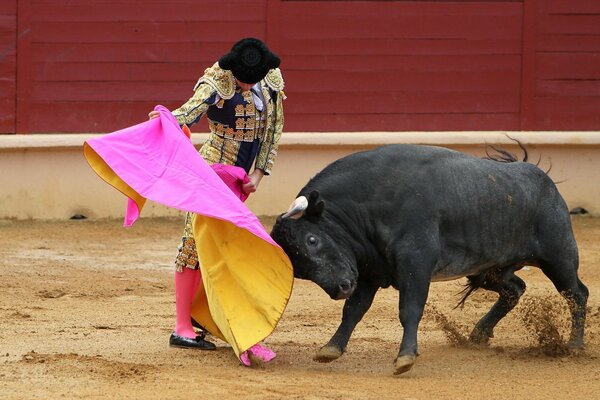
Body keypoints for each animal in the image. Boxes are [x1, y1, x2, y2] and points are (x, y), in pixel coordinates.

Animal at [270, 144, 588, 376]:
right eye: (300, 270)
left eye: (312, 240)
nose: (340, 288)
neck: (370, 202)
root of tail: (544, 180)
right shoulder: (369, 272)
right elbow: (353, 311)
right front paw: (331, 349)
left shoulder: (416, 264)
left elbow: (409, 310)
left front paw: (405, 358)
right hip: (490, 269)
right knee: (515, 289)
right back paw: (479, 334)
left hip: (558, 256)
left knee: (576, 293)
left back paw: (574, 346)